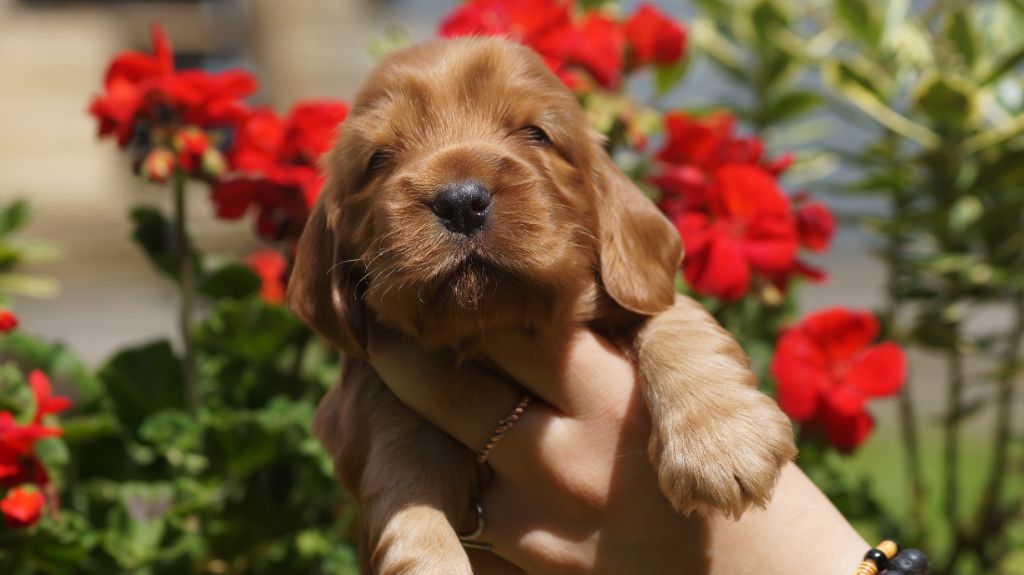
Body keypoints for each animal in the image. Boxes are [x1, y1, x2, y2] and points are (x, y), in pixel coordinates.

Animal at [288, 37, 797, 574]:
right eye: (378, 158)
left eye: (536, 133)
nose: (460, 201)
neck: (488, 327)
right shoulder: (370, 410)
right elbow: (405, 493)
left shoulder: (640, 297)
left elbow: (674, 321)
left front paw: (723, 444)